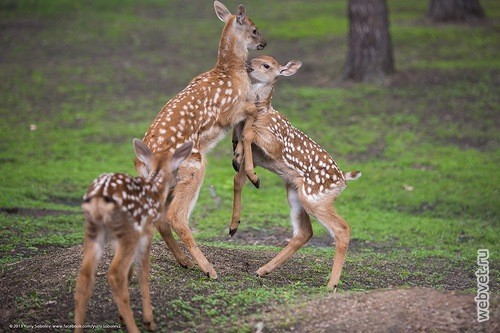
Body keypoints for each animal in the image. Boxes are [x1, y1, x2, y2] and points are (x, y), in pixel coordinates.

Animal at [73, 139, 192, 330]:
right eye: (177, 168)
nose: (176, 183)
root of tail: (99, 199)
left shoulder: (117, 240)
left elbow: (130, 273)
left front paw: (121, 317)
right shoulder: (146, 233)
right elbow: (143, 272)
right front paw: (149, 320)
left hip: (94, 231)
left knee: (85, 275)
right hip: (129, 233)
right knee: (115, 274)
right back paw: (135, 327)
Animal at [133, 1, 266, 278]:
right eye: (254, 29)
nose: (264, 43)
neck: (229, 72)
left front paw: (238, 158)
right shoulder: (229, 111)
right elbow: (251, 113)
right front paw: (252, 174)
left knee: (160, 219)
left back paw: (185, 261)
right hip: (193, 167)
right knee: (176, 217)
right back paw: (208, 269)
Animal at [229, 55, 362, 290]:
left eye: (266, 65)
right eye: (255, 58)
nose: (248, 64)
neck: (262, 112)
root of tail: (343, 179)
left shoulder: (275, 144)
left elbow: (250, 135)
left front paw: (253, 176)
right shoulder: (255, 155)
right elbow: (238, 178)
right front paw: (234, 225)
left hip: (314, 197)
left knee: (342, 229)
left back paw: (331, 285)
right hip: (294, 191)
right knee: (304, 232)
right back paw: (263, 270)